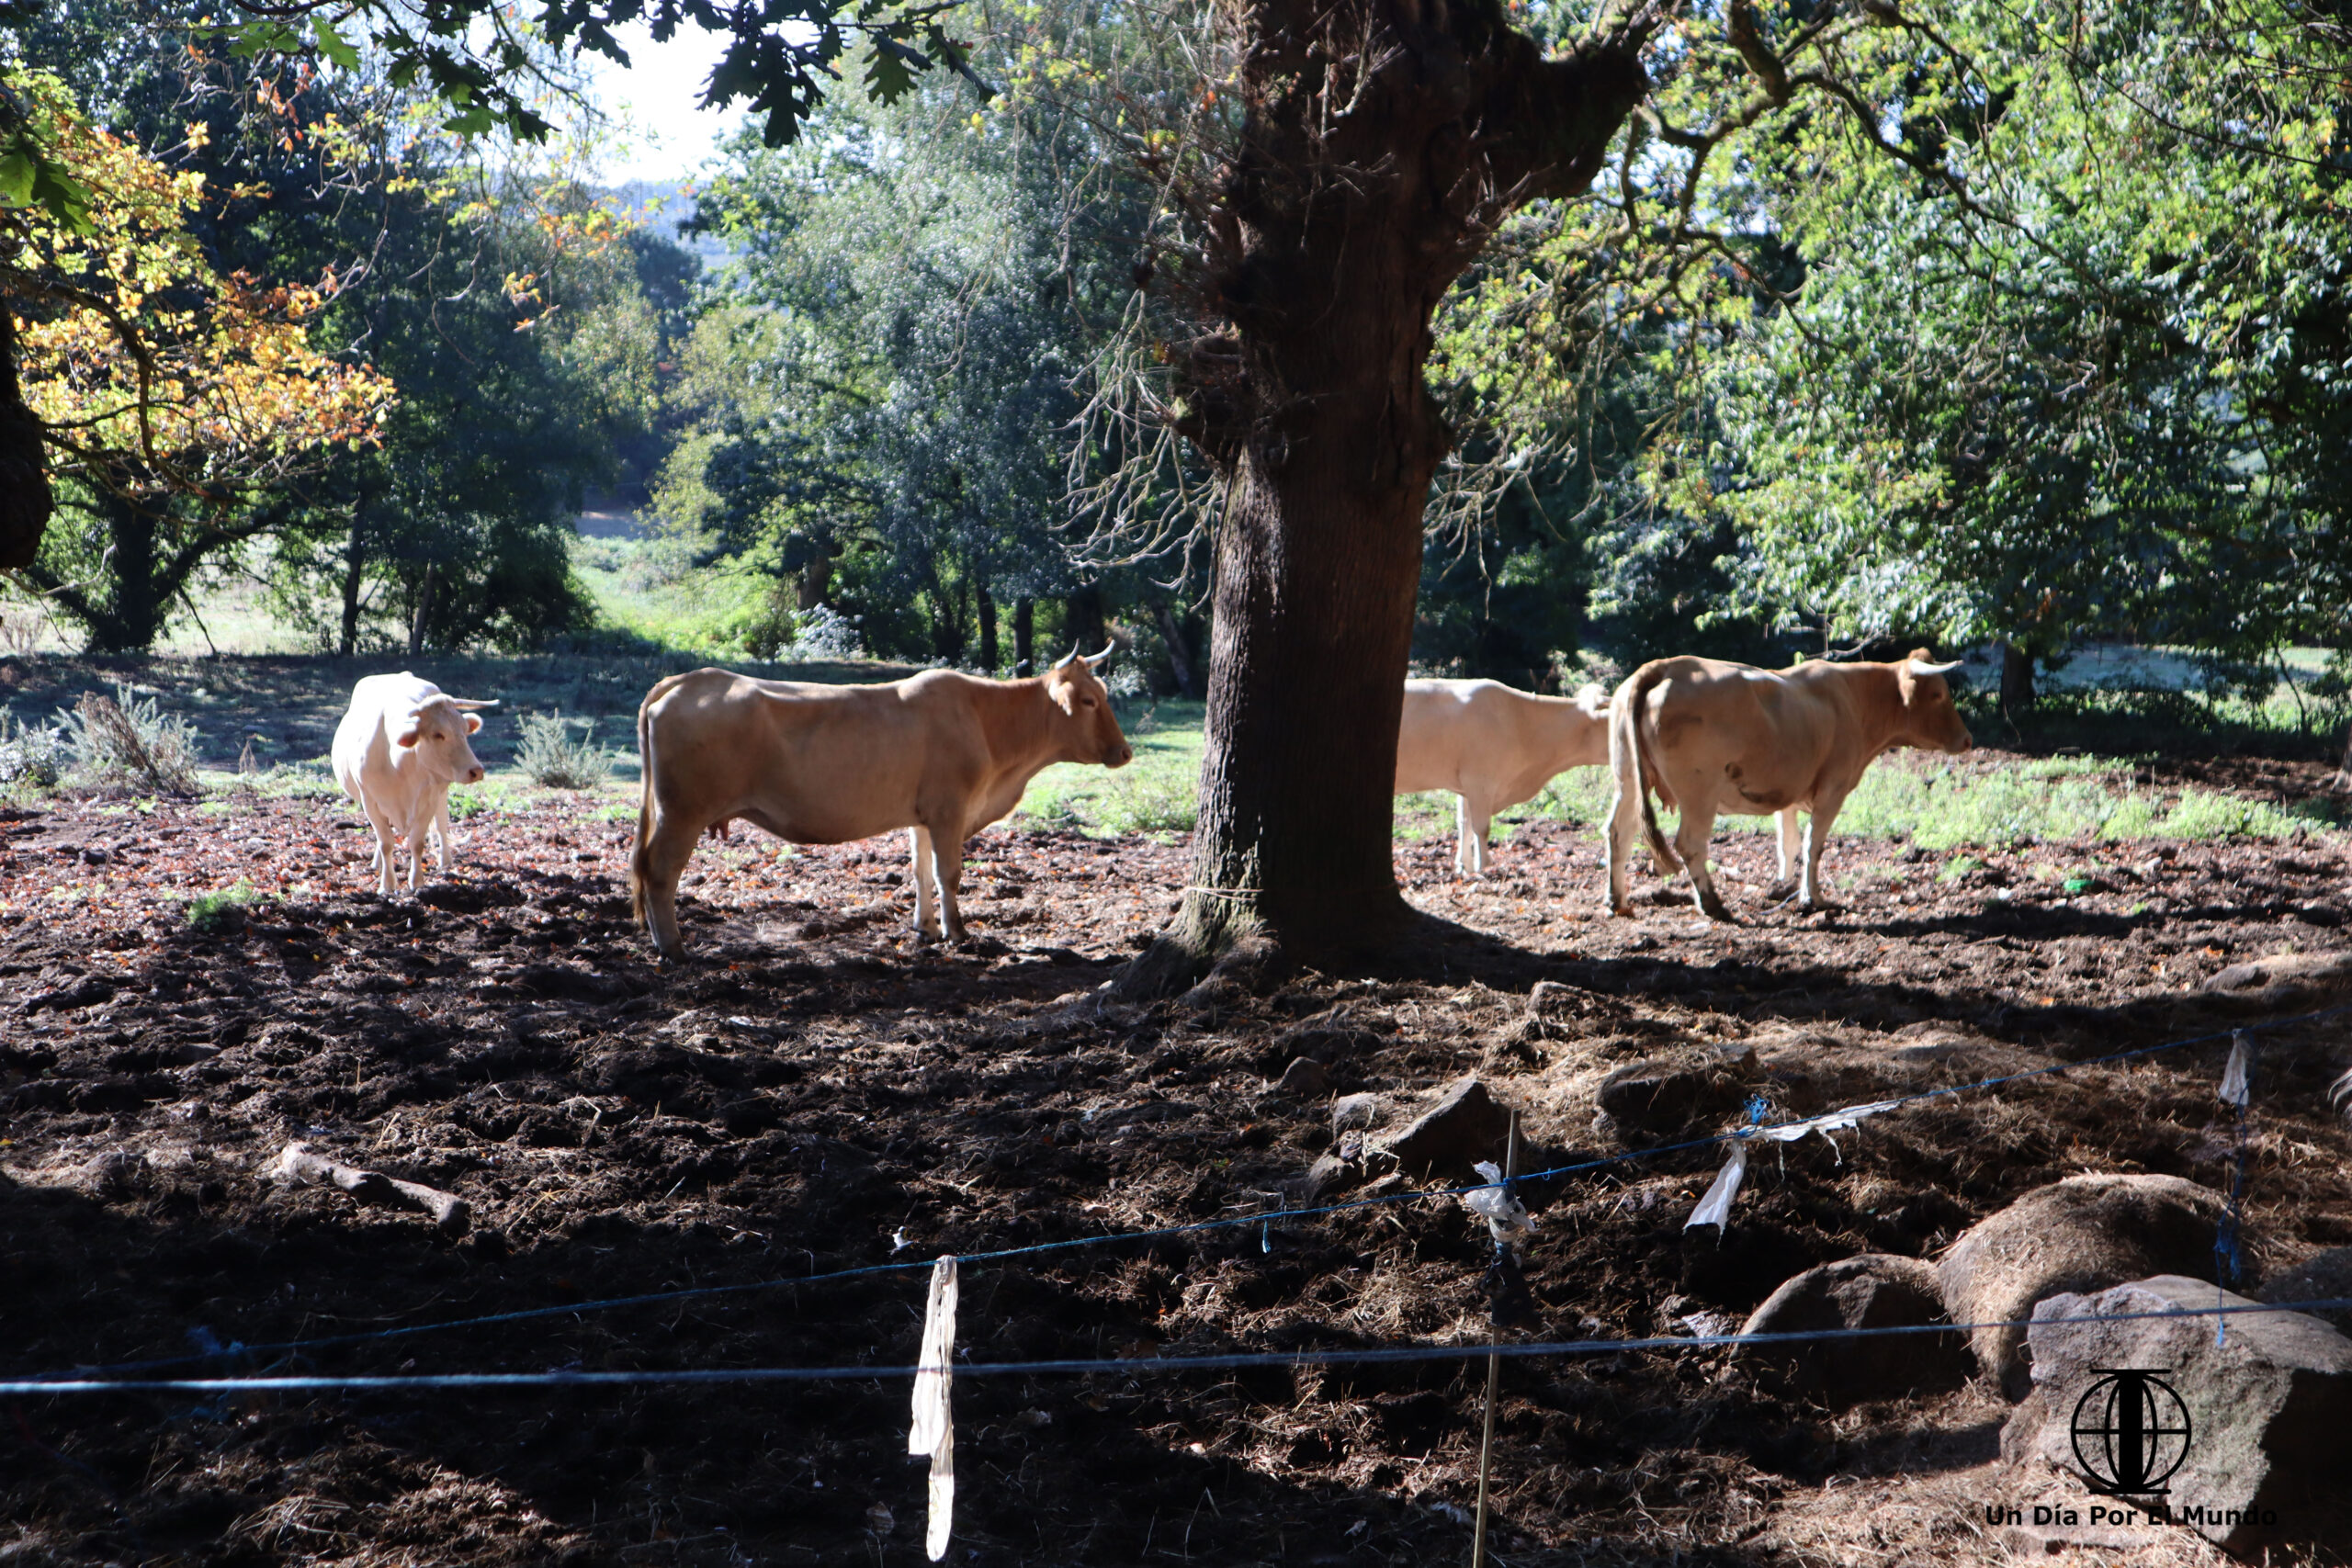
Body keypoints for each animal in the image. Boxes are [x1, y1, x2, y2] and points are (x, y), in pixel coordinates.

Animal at [336, 671, 496, 893]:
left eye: (465, 730)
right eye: (437, 734)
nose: (476, 771)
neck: (399, 765)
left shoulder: (430, 800)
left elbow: (417, 842)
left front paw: (417, 881)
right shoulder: (369, 801)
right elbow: (385, 842)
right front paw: (387, 884)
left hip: (442, 794)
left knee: (441, 825)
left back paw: (445, 860)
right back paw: (377, 862)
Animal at [630, 649, 1133, 959]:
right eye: (1089, 700)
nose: (1126, 752)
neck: (984, 720)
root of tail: (686, 681)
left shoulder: (923, 817)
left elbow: (921, 871)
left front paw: (924, 928)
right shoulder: (950, 810)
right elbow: (949, 874)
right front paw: (957, 932)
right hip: (682, 812)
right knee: (659, 870)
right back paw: (672, 947)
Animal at [1392, 677, 1618, 879]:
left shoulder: (1465, 786)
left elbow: (1464, 824)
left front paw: (1465, 868)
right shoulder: (1479, 780)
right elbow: (1481, 828)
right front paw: (1483, 867)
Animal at [1609, 649, 1975, 921]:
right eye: (1938, 694)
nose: (1968, 739)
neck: (1852, 698)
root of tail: (1667, 666)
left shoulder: (1786, 793)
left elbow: (1789, 843)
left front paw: (1782, 888)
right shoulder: (1832, 789)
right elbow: (1814, 844)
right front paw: (1812, 898)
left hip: (1627, 780)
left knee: (1618, 832)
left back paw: (1617, 900)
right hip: (1700, 792)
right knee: (1689, 844)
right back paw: (1713, 904)